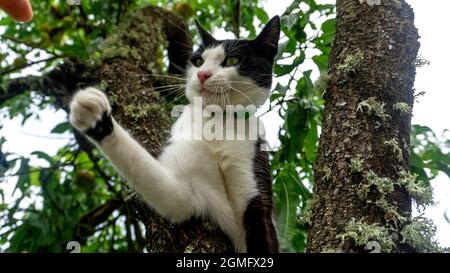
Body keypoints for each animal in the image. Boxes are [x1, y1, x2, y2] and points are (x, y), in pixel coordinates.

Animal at [69, 15, 282, 252]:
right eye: (198, 61)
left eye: (233, 60)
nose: (202, 74)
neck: (217, 123)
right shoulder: (186, 195)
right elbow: (158, 183)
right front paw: (95, 117)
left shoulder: (256, 190)